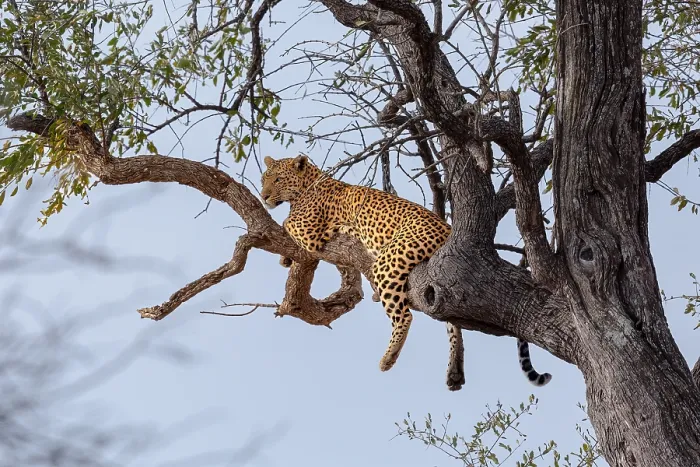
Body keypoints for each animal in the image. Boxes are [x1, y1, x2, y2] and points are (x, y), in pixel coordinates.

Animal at [261, 154, 552, 389]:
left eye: (277, 179)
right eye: (264, 179)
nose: (263, 196)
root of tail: (447, 228)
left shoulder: (309, 229)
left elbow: (286, 221)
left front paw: (285, 253)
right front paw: (286, 258)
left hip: (388, 262)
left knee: (405, 316)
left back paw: (388, 358)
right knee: (451, 323)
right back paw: (455, 371)